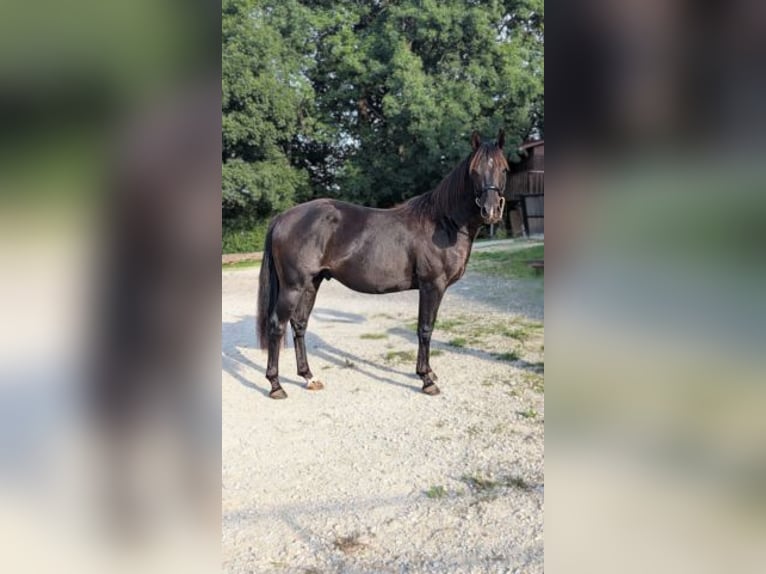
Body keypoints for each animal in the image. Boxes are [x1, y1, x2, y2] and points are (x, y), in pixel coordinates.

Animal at [257, 129, 508, 399]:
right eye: (474, 171)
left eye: (504, 168)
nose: (491, 211)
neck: (443, 223)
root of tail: (283, 217)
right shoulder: (432, 286)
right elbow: (425, 328)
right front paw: (426, 379)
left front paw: (429, 373)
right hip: (293, 287)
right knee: (277, 325)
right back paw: (276, 385)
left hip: (311, 283)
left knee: (299, 324)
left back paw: (309, 377)